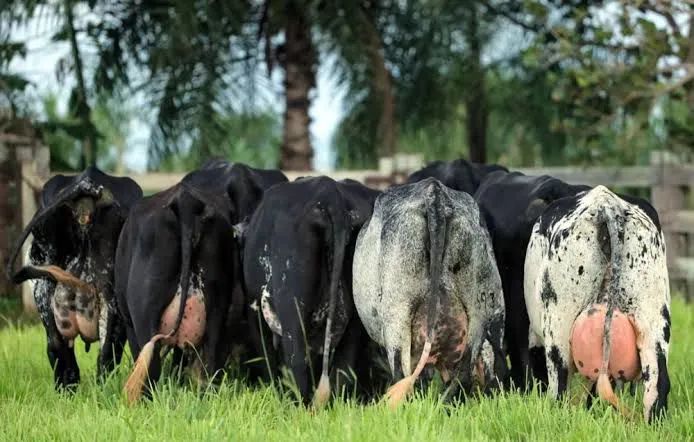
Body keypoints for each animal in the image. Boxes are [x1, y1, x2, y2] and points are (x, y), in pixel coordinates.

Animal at [240, 176, 381, 406]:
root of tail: (329, 191)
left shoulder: (255, 312)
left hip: (292, 307)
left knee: (297, 360)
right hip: (356, 318)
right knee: (344, 369)